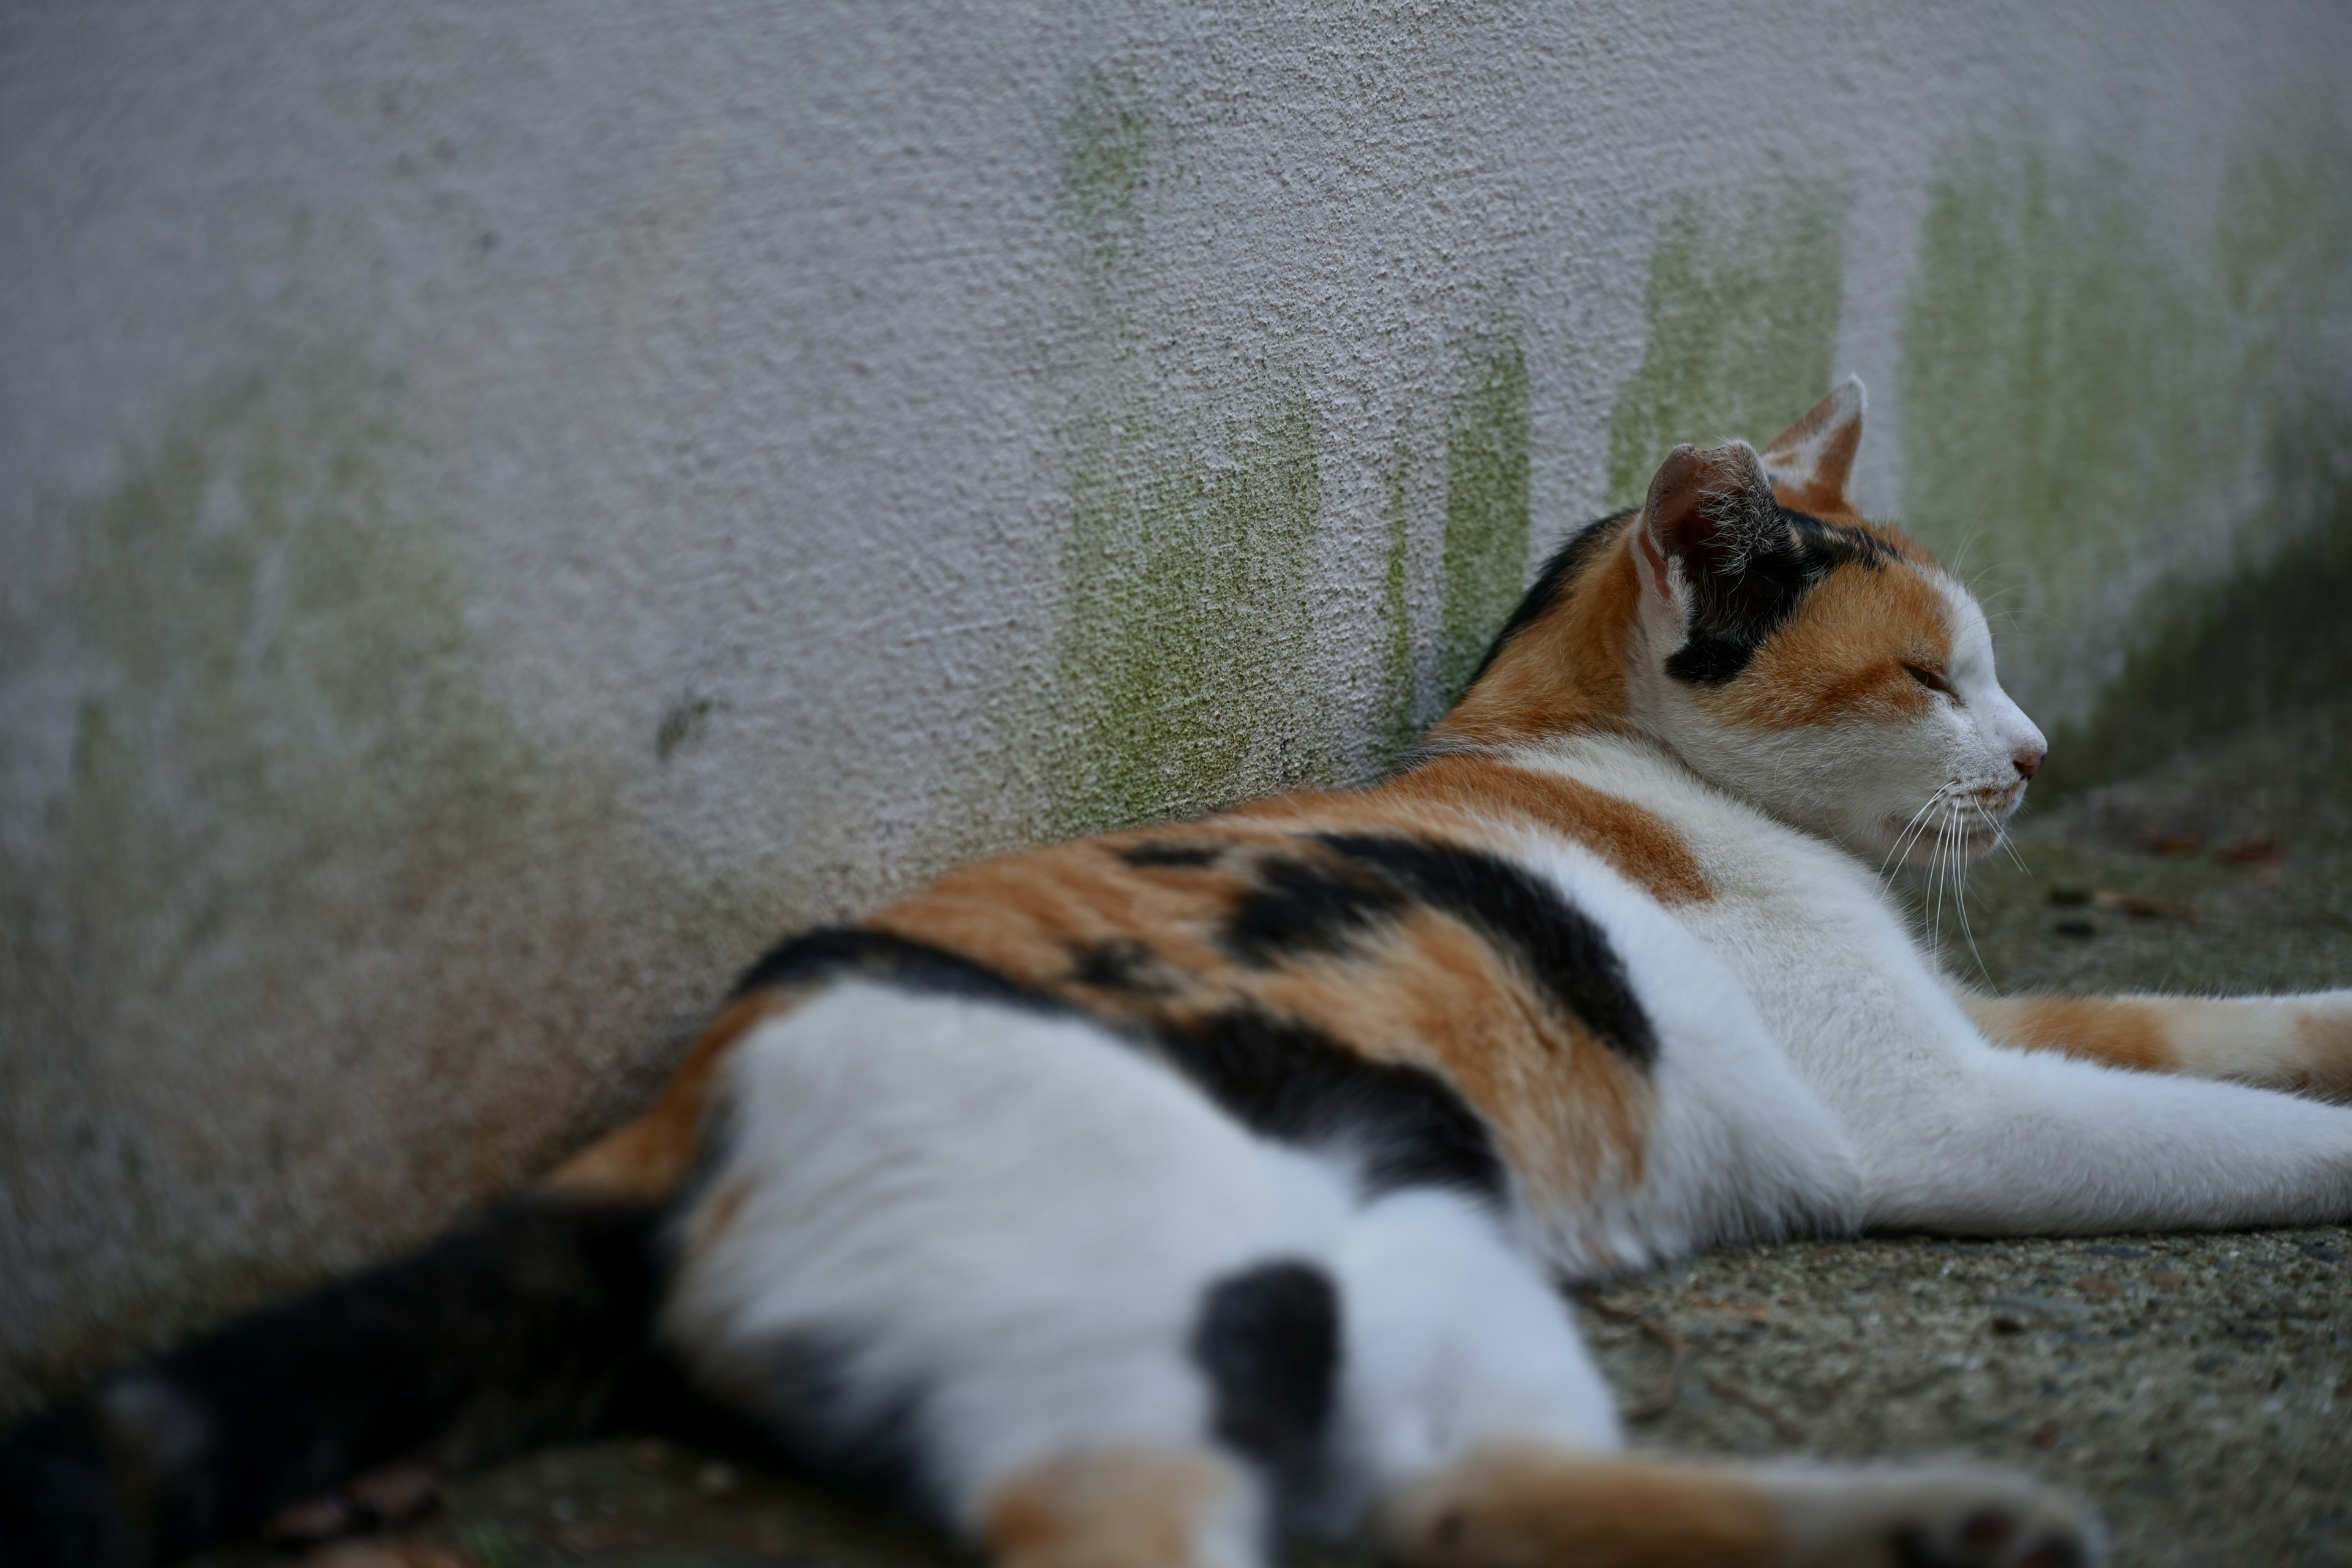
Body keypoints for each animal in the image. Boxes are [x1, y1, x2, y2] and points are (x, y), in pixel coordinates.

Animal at [4, 380, 2352, 1568]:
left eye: (1992, 672)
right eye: (1932, 676)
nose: (2031, 755)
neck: (1576, 754)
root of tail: (675, 1105)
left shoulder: (1990, 1025)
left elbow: (2228, 1025)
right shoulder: (1943, 1105)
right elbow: (2216, 1125)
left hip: (1407, 1218)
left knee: (1443, 1496)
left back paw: (1938, 1525)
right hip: (1189, 1270)